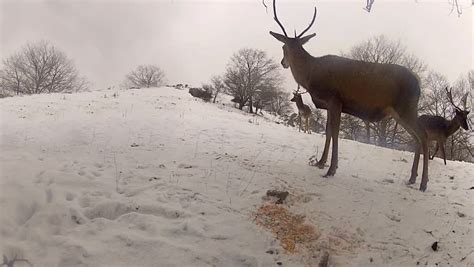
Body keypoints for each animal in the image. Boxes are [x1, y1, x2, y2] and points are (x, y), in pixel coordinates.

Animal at [268, 0, 432, 193]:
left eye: (283, 47)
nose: (283, 62)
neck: (311, 75)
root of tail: (418, 82)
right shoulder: (328, 104)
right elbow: (328, 131)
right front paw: (320, 162)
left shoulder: (335, 99)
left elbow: (335, 131)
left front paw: (331, 169)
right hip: (399, 113)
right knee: (416, 138)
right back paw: (412, 178)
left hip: (406, 107)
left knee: (424, 136)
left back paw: (423, 183)